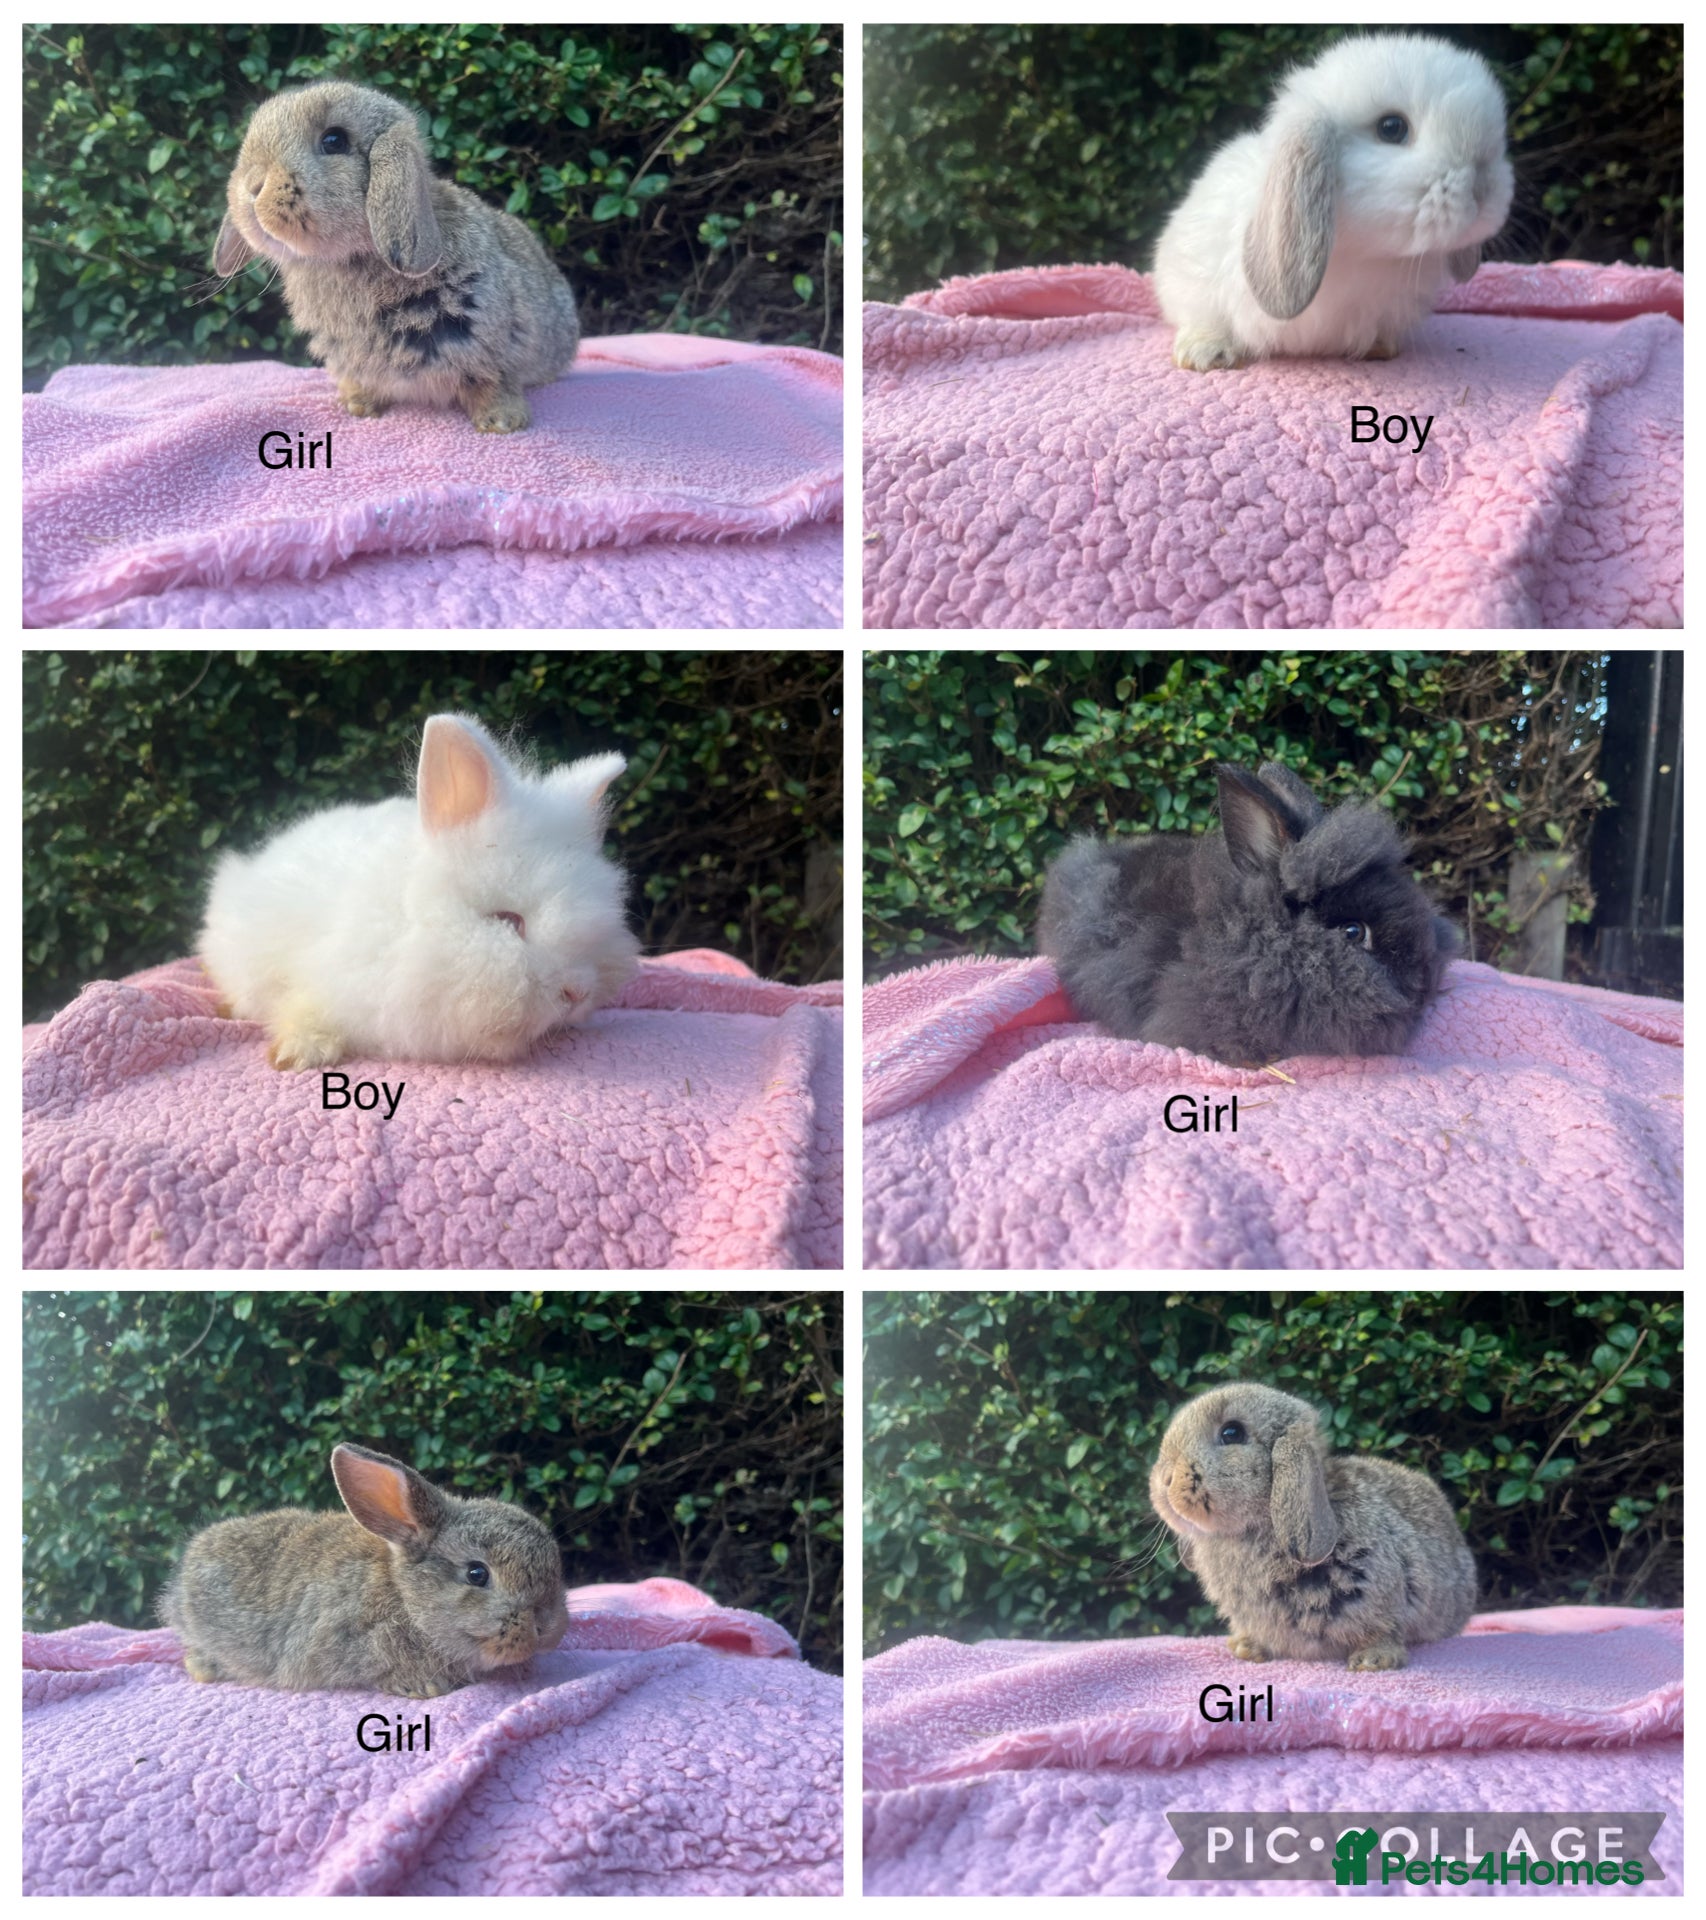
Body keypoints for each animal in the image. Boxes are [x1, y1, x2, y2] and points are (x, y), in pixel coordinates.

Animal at [213, 81, 579, 432]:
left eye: (334, 140)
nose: (252, 186)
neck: (352, 258)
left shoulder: (492, 345)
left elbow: (493, 382)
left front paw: (502, 422)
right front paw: (358, 406)